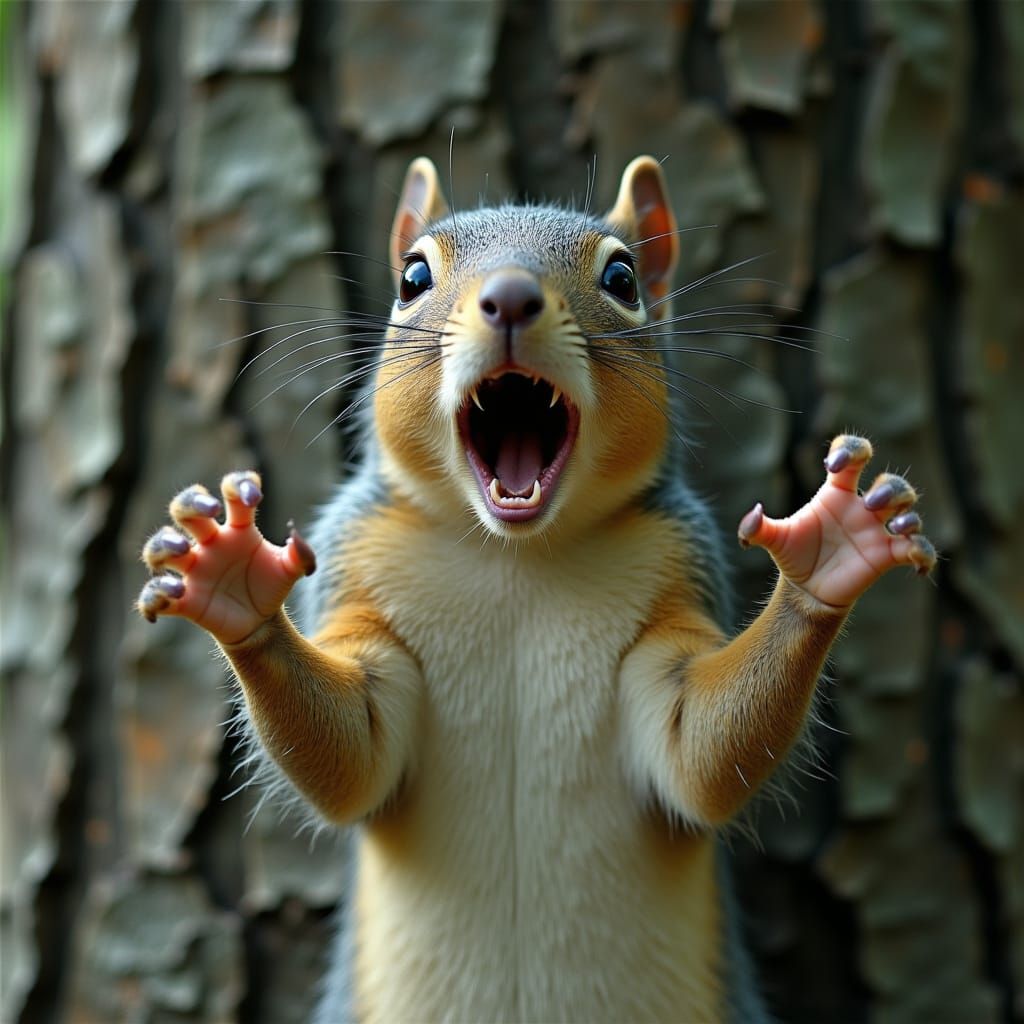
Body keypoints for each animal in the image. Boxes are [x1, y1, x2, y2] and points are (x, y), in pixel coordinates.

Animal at [138, 155, 936, 1023]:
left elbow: (699, 756)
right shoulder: (356, 582)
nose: (513, 296)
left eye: (622, 277)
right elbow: (353, 755)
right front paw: (232, 581)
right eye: (412, 277)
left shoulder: (679, 581)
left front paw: (832, 550)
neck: (515, 561)